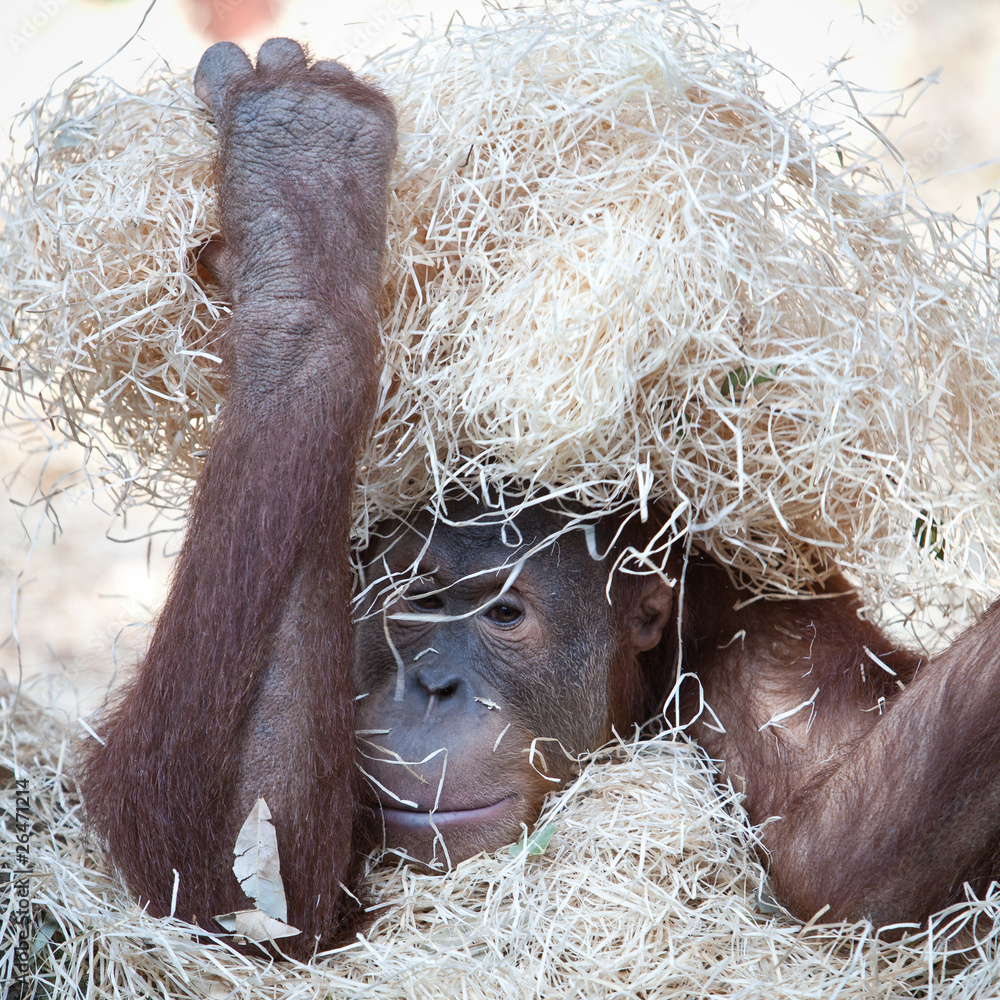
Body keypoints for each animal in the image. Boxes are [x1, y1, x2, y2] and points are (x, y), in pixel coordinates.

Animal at [79, 39, 1000, 960]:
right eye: (416, 602)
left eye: (503, 615)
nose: (433, 686)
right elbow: (249, 884)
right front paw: (301, 224)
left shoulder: (780, 676)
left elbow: (836, 880)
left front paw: (302, 190)